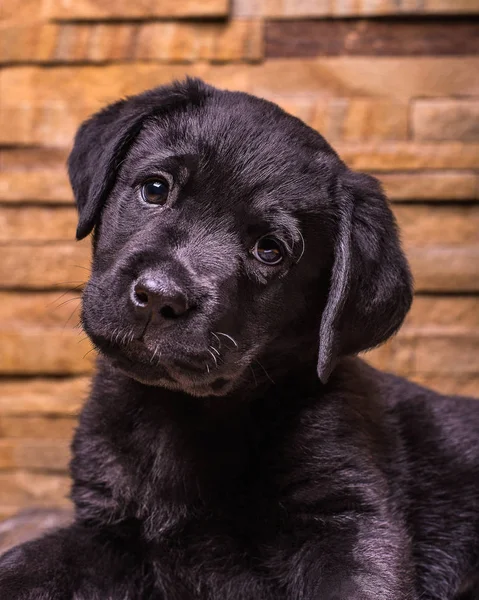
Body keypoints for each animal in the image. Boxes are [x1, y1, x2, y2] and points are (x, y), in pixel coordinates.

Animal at [0, 78, 479, 600]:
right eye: (155, 189)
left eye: (270, 250)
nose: (160, 296)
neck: (178, 418)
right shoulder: (111, 534)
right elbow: (30, 562)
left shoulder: (351, 520)